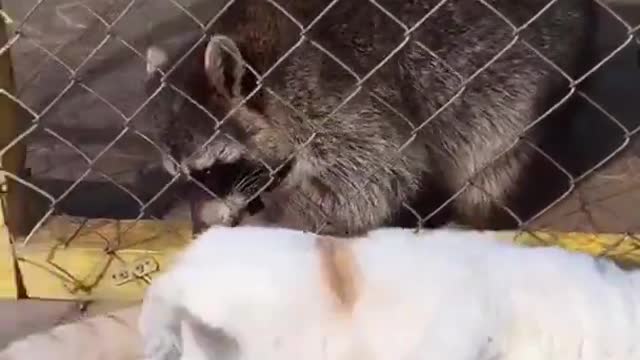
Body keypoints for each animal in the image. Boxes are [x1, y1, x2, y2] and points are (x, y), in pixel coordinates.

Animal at [145, 0, 596, 235]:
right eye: (180, 178)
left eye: (209, 172)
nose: (199, 231)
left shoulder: (333, 98)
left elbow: (377, 175)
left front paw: (278, 221)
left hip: (516, 71)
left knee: (489, 154)